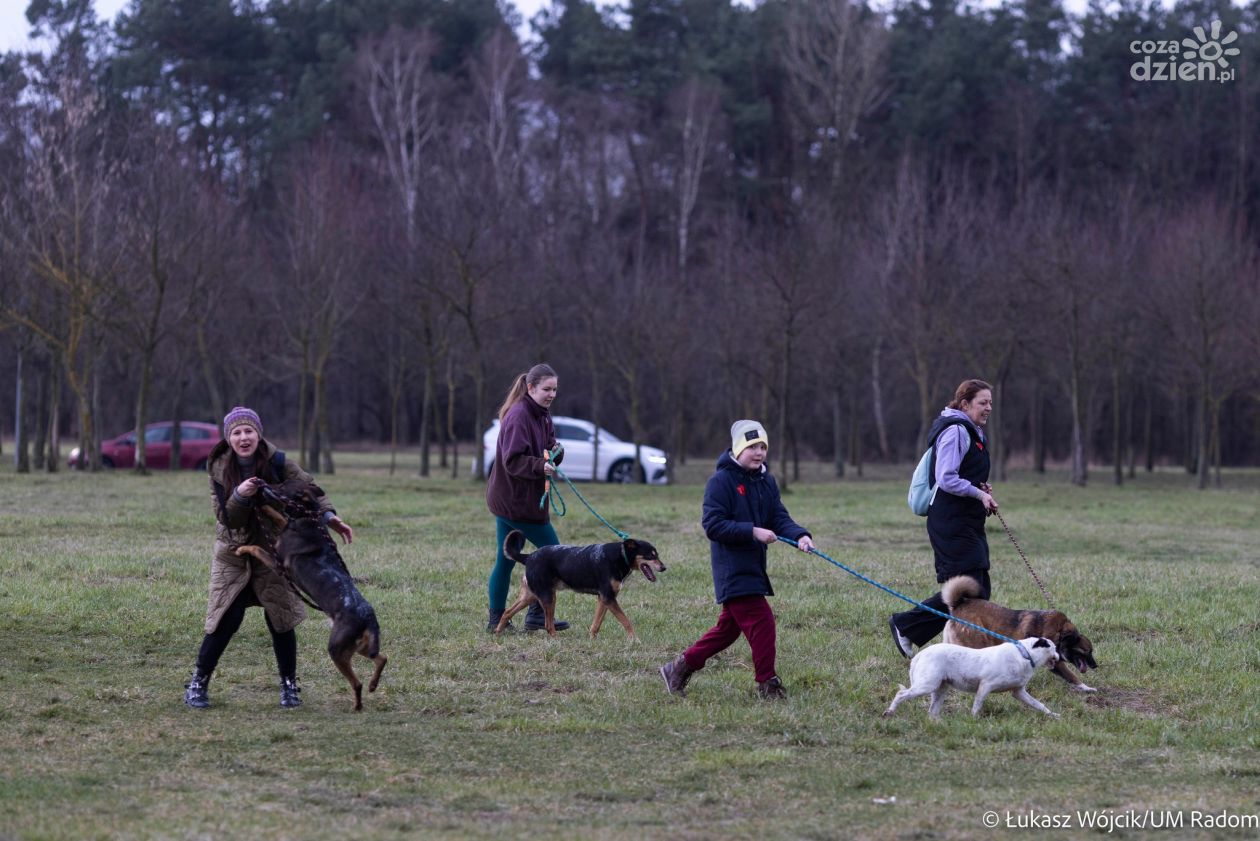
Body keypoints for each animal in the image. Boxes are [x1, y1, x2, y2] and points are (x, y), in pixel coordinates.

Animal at [235, 484, 383, 716]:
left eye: (281, 485)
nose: (262, 485)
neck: (308, 519)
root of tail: (368, 617)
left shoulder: (278, 564)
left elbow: (257, 547)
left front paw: (242, 548)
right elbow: (279, 516)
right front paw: (265, 508)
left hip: (337, 650)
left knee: (357, 682)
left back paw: (357, 706)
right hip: (360, 646)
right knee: (382, 658)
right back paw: (374, 685)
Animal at [493, 529, 665, 640]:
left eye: (657, 555)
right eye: (651, 555)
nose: (664, 568)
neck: (621, 555)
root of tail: (528, 557)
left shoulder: (603, 599)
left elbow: (596, 623)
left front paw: (592, 639)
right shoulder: (609, 598)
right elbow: (626, 620)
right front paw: (634, 639)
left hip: (530, 596)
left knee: (507, 612)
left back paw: (497, 633)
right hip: (548, 597)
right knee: (548, 625)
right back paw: (556, 639)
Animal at [887, 635, 1063, 721]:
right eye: (1054, 648)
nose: (1061, 657)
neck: (1024, 654)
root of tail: (920, 655)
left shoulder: (1019, 692)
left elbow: (1039, 705)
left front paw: (1053, 715)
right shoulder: (985, 686)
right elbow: (977, 706)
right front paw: (974, 720)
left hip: (940, 689)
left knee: (932, 712)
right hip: (926, 685)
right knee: (901, 694)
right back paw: (889, 712)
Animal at [942, 574, 1098, 696]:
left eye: (1091, 651)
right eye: (1086, 651)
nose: (1095, 666)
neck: (1059, 632)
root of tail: (958, 605)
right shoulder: (1055, 663)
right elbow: (1072, 676)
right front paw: (1087, 688)